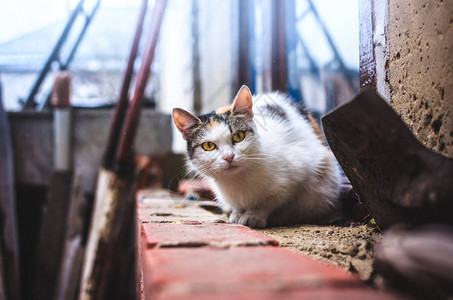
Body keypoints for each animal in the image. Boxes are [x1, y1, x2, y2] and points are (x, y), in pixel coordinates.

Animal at [172, 85, 340, 229]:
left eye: (239, 136)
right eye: (208, 146)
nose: (229, 157)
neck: (238, 180)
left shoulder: (298, 176)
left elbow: (273, 200)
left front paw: (254, 215)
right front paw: (237, 213)